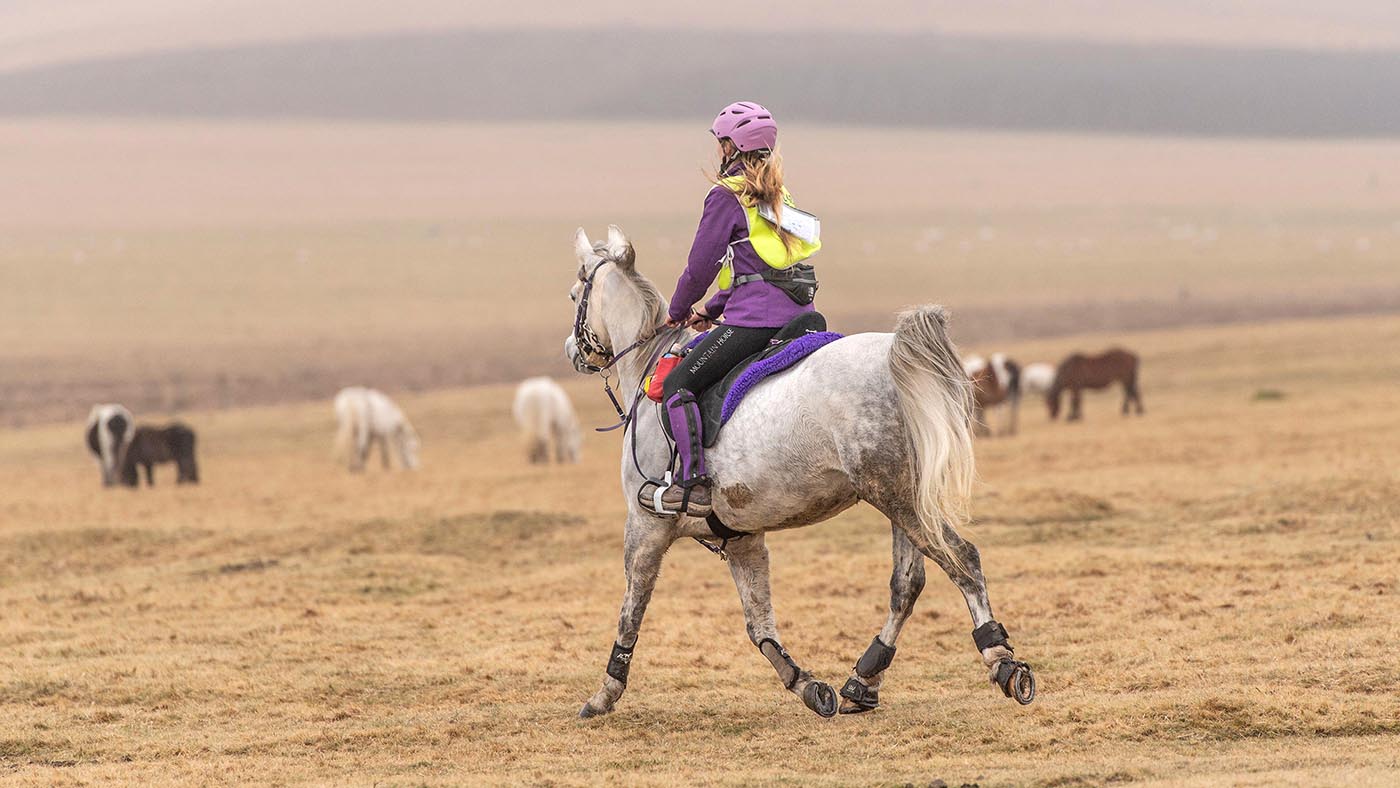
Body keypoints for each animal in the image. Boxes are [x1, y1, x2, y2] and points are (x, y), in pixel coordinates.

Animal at [563, 226, 1035, 719]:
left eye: (576, 293)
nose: (573, 352)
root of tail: (892, 352)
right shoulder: (742, 539)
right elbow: (759, 625)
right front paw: (806, 685)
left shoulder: (646, 526)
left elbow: (631, 610)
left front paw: (605, 693)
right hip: (901, 498)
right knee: (907, 584)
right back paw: (864, 679)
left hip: (895, 496)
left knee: (962, 559)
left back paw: (1003, 661)